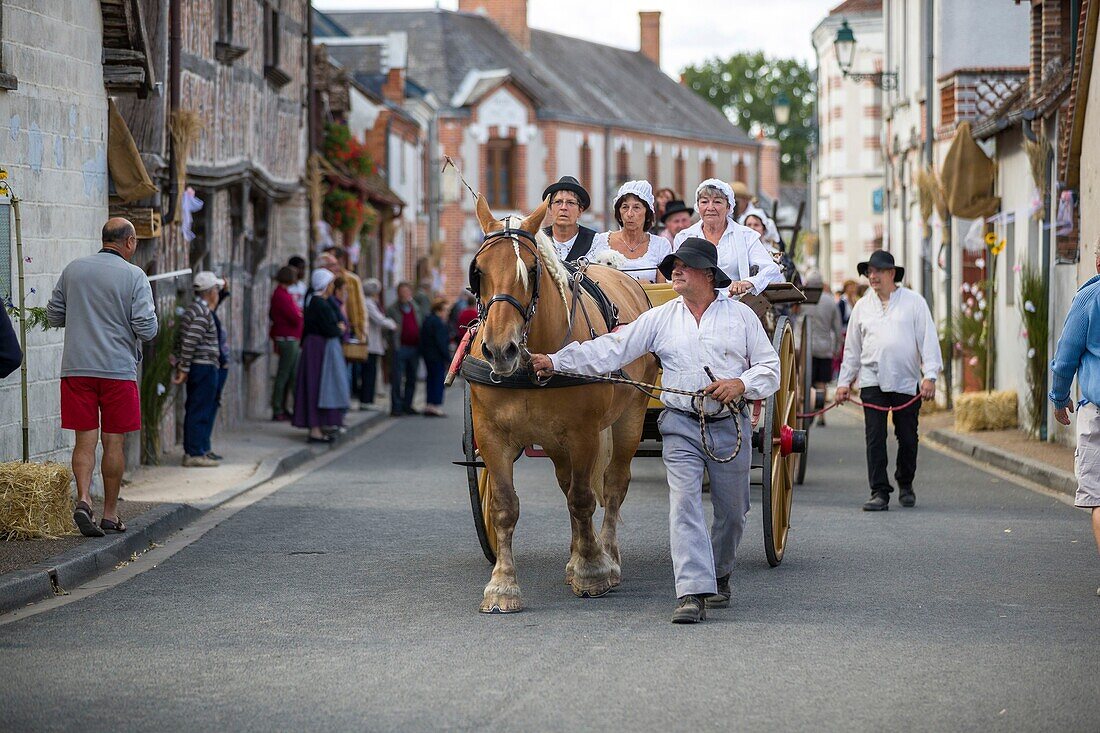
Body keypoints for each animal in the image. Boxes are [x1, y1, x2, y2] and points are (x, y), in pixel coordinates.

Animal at [466, 193, 655, 611]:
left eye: (532, 269)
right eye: (478, 271)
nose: (499, 350)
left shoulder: (583, 434)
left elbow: (584, 499)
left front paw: (593, 571)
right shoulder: (491, 435)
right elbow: (504, 507)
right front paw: (502, 585)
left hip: (630, 417)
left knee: (613, 484)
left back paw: (607, 556)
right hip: (554, 441)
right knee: (568, 484)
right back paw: (576, 555)